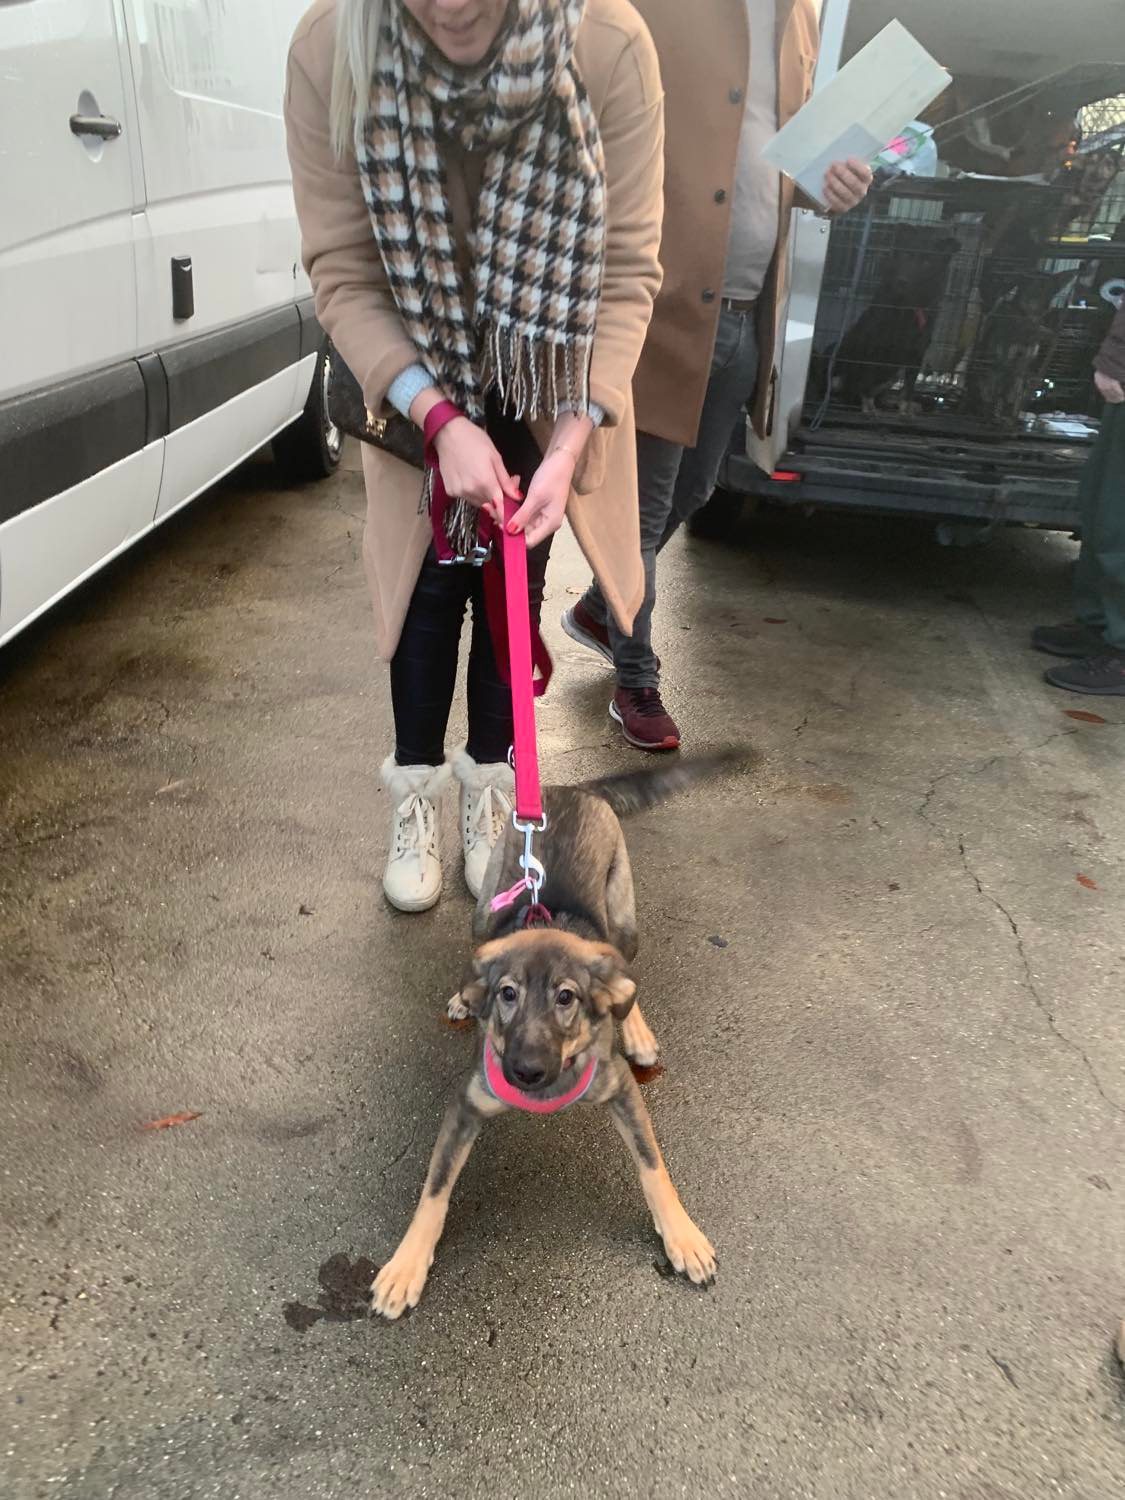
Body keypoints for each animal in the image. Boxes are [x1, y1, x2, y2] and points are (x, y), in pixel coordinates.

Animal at [370, 752, 744, 1320]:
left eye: (566, 998)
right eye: (507, 994)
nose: (525, 1072)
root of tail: (574, 789)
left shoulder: (620, 1088)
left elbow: (654, 1166)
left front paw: (681, 1236)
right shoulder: (467, 1103)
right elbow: (433, 1192)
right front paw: (405, 1266)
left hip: (623, 918)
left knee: (625, 977)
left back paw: (634, 1027)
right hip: (487, 905)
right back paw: (463, 995)